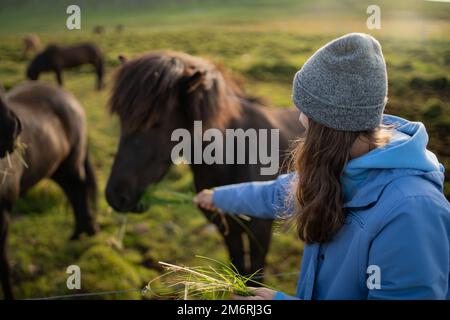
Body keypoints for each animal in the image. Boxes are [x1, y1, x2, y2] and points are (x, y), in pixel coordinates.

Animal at [0, 83, 98, 300]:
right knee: (73, 192)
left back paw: (87, 231)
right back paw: (78, 232)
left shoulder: (3, 215)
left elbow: (2, 265)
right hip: (57, 168)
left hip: (70, 164)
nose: (13, 127)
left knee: (79, 189)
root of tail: (66, 94)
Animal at [103, 50, 304, 282]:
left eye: (156, 122)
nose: (116, 196)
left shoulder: (260, 231)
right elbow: (239, 268)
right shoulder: (228, 229)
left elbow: (255, 276)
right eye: (121, 118)